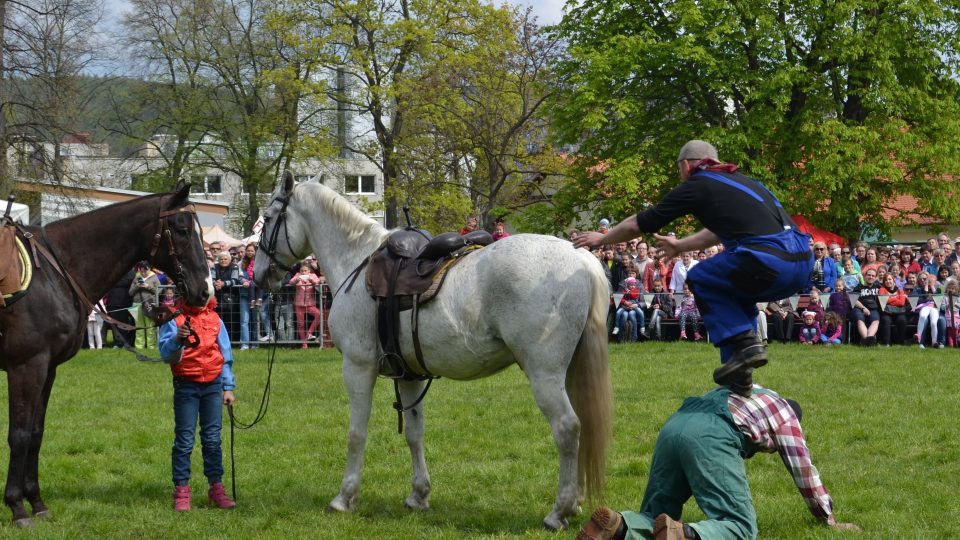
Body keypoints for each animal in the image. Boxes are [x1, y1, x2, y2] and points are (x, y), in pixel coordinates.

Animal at [0, 185, 210, 528]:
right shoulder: (27, 367)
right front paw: (17, 507)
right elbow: (18, 435)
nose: (205, 290)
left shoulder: (47, 369)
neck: (56, 272)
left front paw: (37, 503)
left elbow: (35, 433)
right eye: (182, 229)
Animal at [253, 173, 616, 528]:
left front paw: (345, 498)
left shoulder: (357, 367)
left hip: (544, 374)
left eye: (267, 219)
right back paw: (576, 502)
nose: (258, 275)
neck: (356, 260)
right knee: (581, 426)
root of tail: (581, 257)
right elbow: (415, 433)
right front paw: (419, 495)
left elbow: (357, 433)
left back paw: (559, 511)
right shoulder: (409, 375)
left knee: (567, 428)